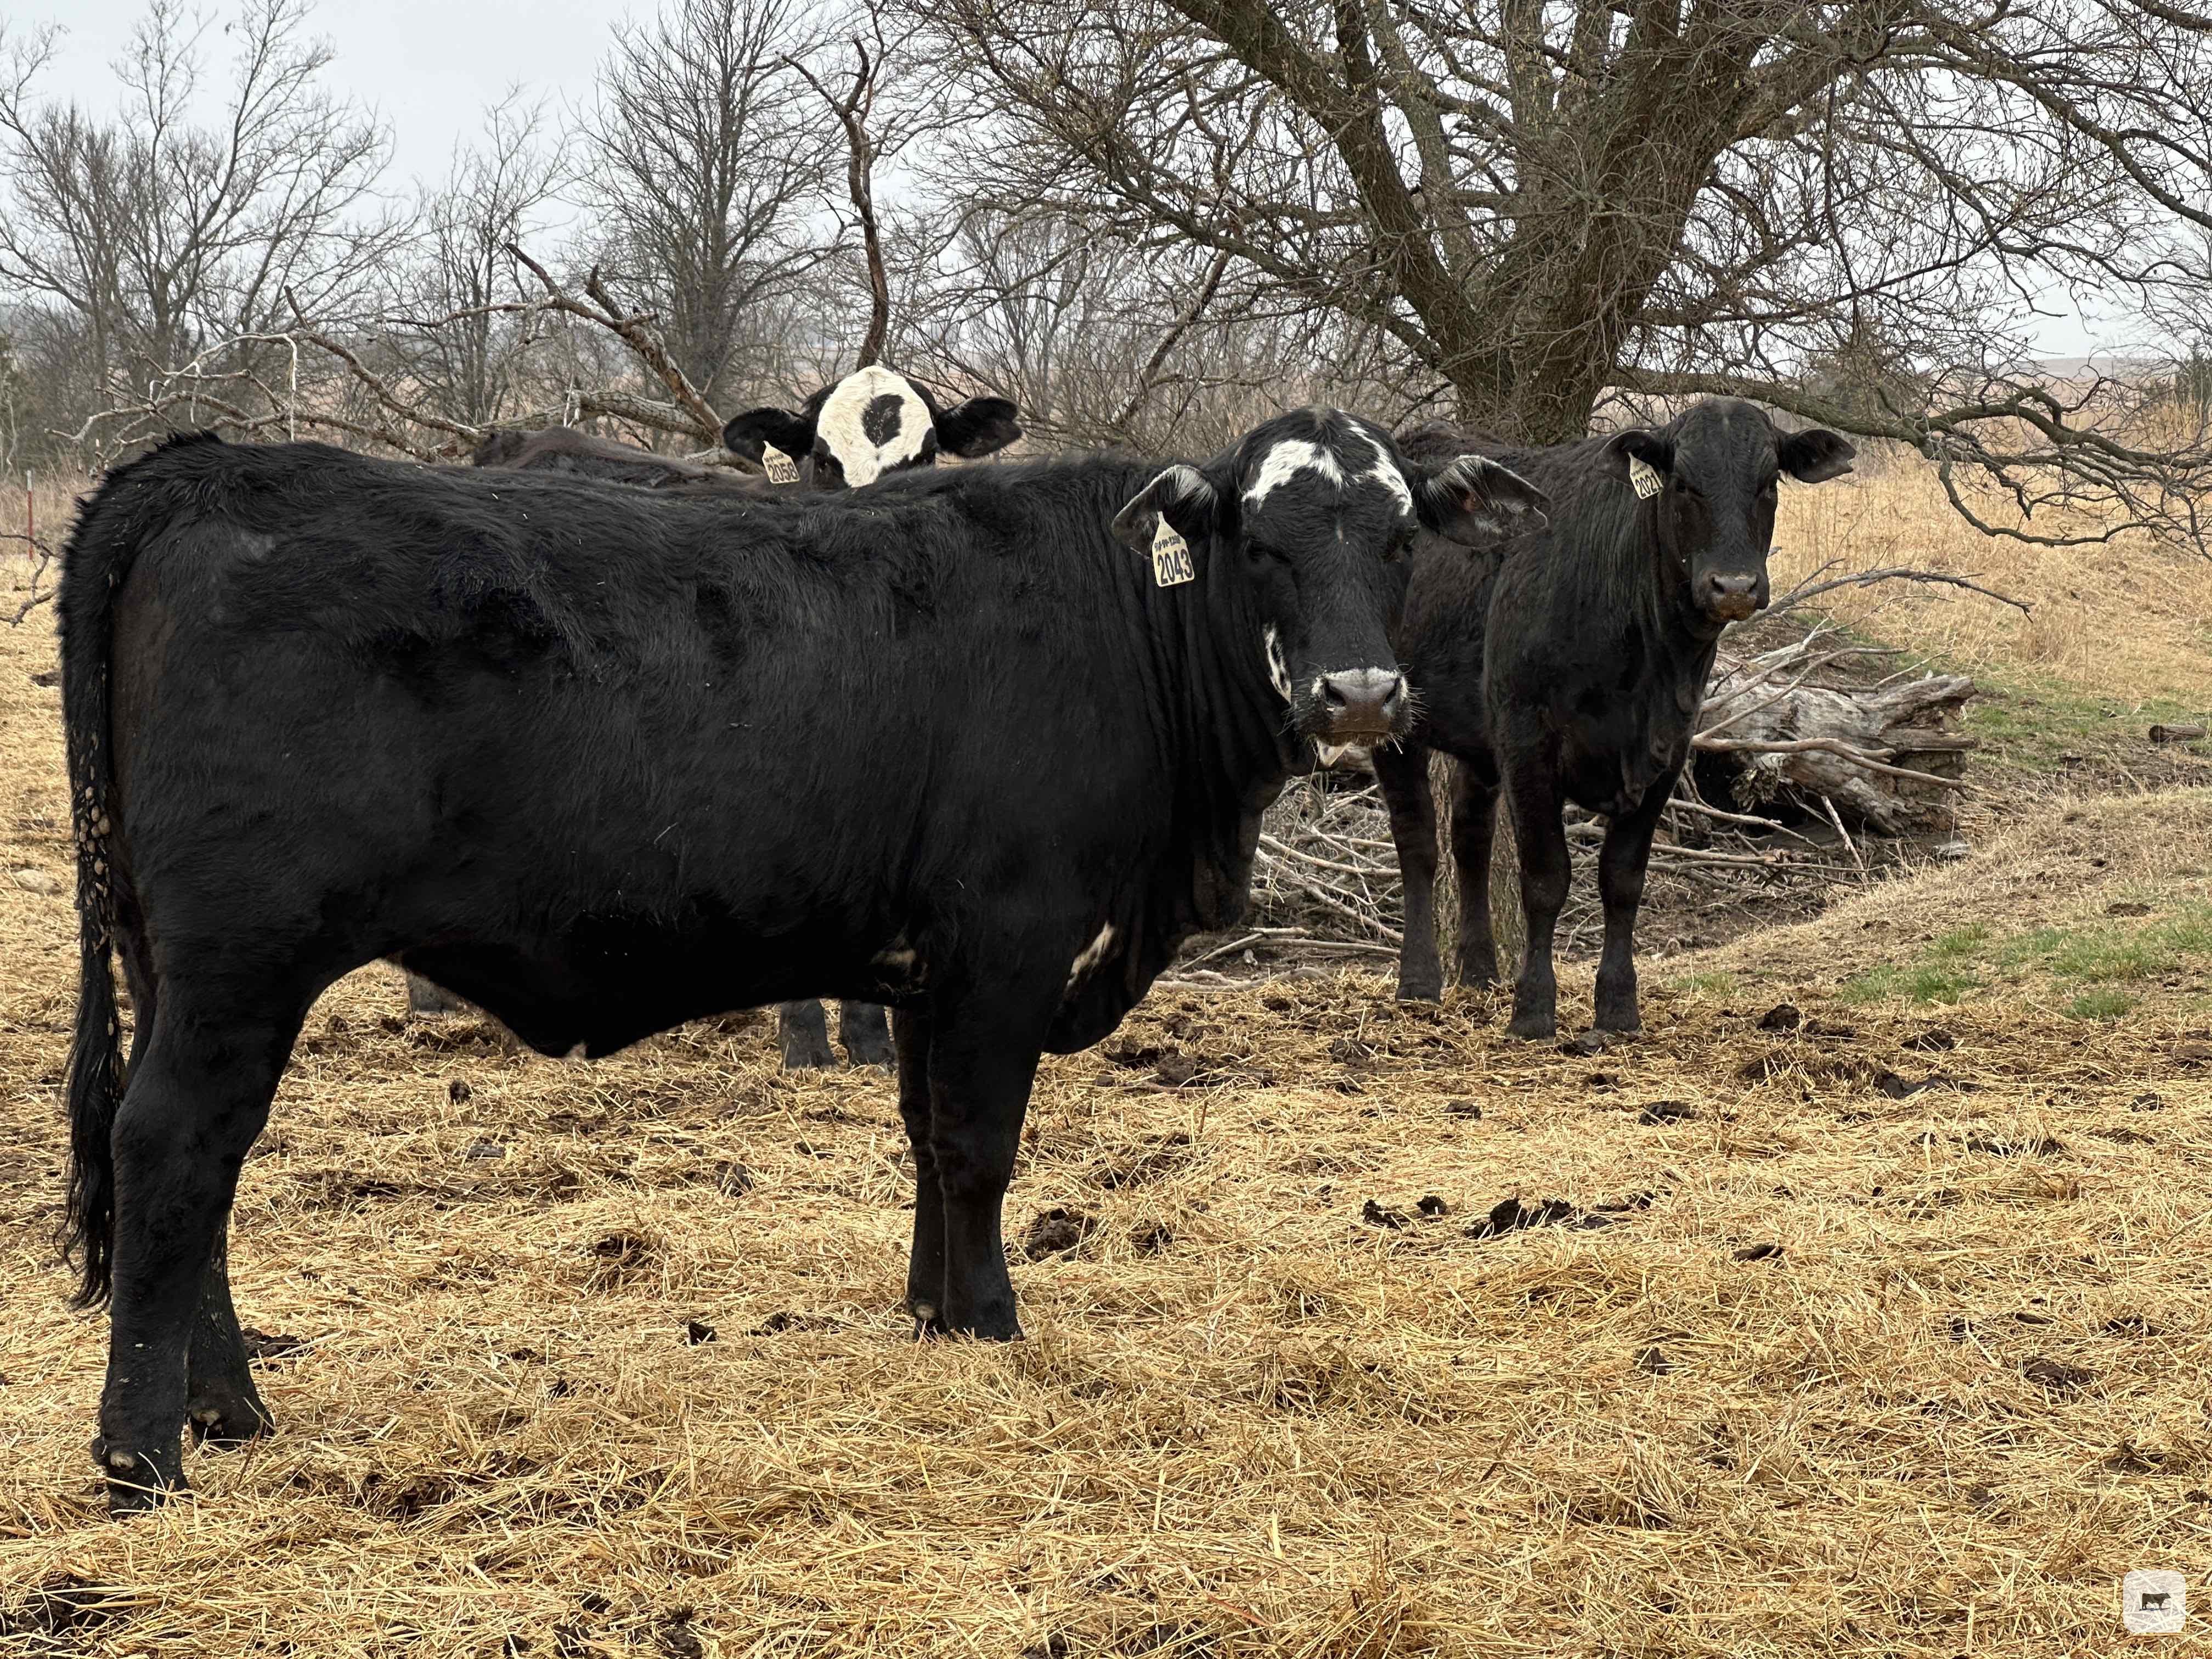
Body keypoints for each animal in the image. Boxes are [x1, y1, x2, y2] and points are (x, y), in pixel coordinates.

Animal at [54, 412, 1546, 1511]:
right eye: (1260, 541)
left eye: (1398, 537)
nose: (1359, 695)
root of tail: (205, 464)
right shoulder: (1010, 936)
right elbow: (980, 1144)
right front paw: (992, 1321)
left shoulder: (934, 963)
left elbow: (925, 1134)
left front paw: (931, 1310)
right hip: (244, 962)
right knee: (173, 1148)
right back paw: (145, 1449)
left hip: (173, 963)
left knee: (194, 1169)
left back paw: (228, 1405)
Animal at [1374, 398, 1854, 1039]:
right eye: (1684, 483)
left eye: (1768, 483)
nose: (1733, 586)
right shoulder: (1529, 741)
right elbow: (1545, 878)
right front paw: (1534, 1008)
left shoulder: (1667, 750)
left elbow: (1623, 880)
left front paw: (1619, 1007)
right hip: (1390, 718)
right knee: (1418, 840)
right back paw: (1420, 981)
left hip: (1480, 740)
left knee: (1469, 836)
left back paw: (1478, 974)